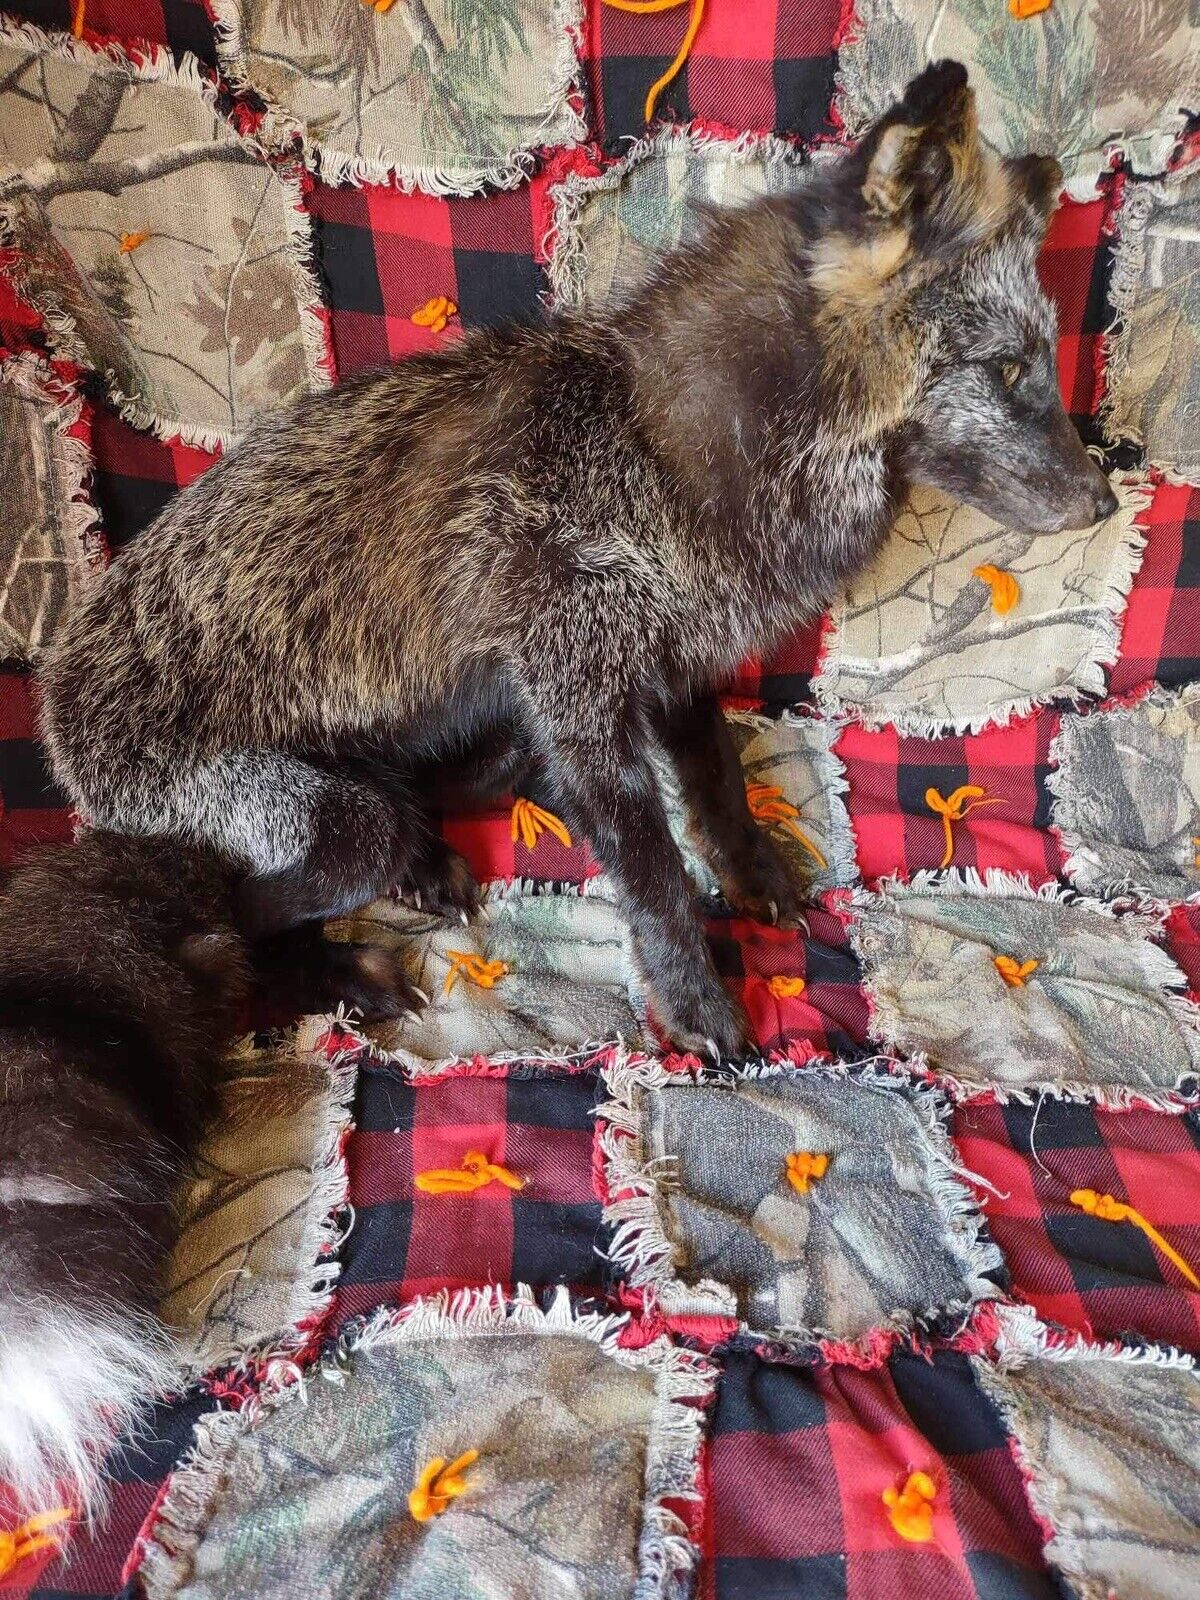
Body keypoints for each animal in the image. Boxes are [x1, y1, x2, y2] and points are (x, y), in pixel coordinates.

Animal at [41, 60, 1116, 1061]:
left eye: (1039, 357)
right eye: (1008, 368)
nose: (1106, 502)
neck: (664, 455)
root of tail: (59, 714)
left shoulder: (670, 659)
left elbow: (719, 781)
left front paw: (752, 875)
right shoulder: (580, 689)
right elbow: (656, 876)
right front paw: (698, 1008)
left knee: (428, 799)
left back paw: (430, 860)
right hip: (336, 828)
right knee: (242, 915)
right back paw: (344, 965)